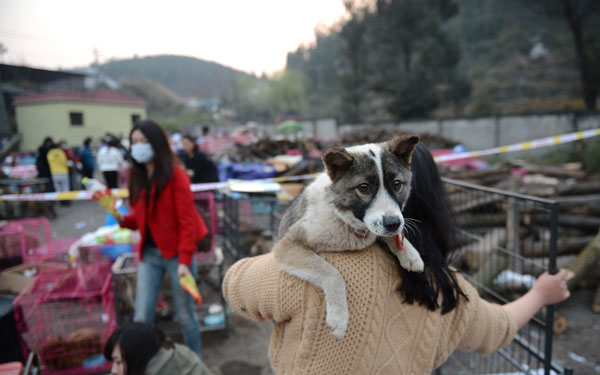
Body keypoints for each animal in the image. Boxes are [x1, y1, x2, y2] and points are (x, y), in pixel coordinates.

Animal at [274, 136, 424, 340]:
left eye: (397, 184)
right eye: (364, 187)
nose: (393, 223)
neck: (343, 219)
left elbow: (389, 235)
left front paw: (410, 254)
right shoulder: (287, 244)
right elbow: (333, 274)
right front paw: (339, 318)